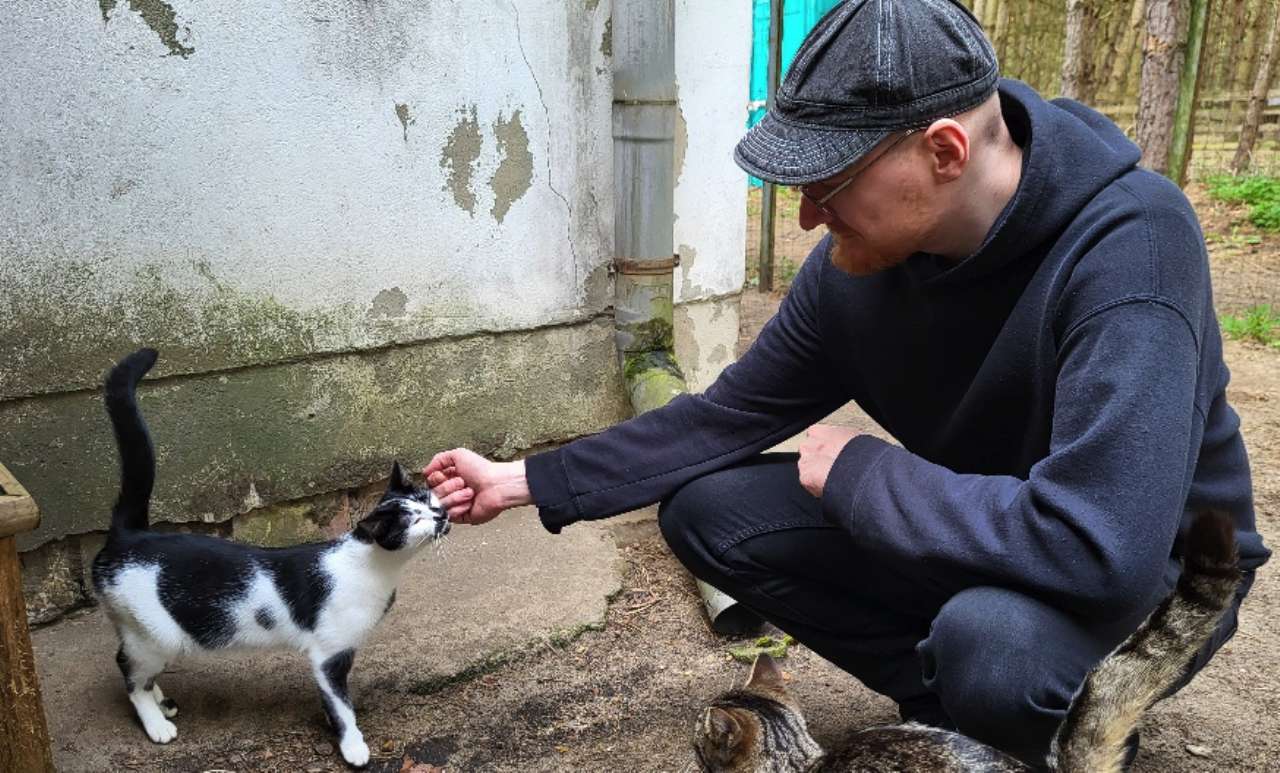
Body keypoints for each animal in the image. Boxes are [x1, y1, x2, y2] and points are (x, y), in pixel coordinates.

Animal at [91, 348, 449, 768]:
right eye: (412, 519)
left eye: (427, 499)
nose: (441, 515)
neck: (376, 568)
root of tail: (132, 534)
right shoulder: (329, 656)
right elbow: (342, 706)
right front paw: (353, 746)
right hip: (158, 632)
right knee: (128, 671)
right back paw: (155, 722)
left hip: (140, 630)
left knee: (133, 663)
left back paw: (161, 700)